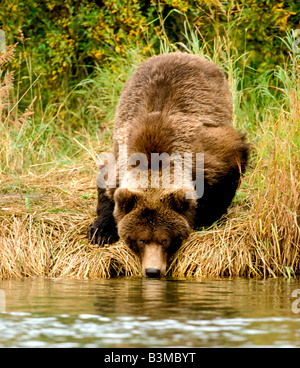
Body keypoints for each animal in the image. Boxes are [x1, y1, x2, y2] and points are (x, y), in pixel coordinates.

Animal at [88, 51, 248, 276]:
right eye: (141, 239)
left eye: (165, 239)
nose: (152, 271)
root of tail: (180, 53)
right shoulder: (121, 157)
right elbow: (107, 184)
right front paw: (100, 231)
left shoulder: (206, 154)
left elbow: (228, 169)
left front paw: (205, 218)